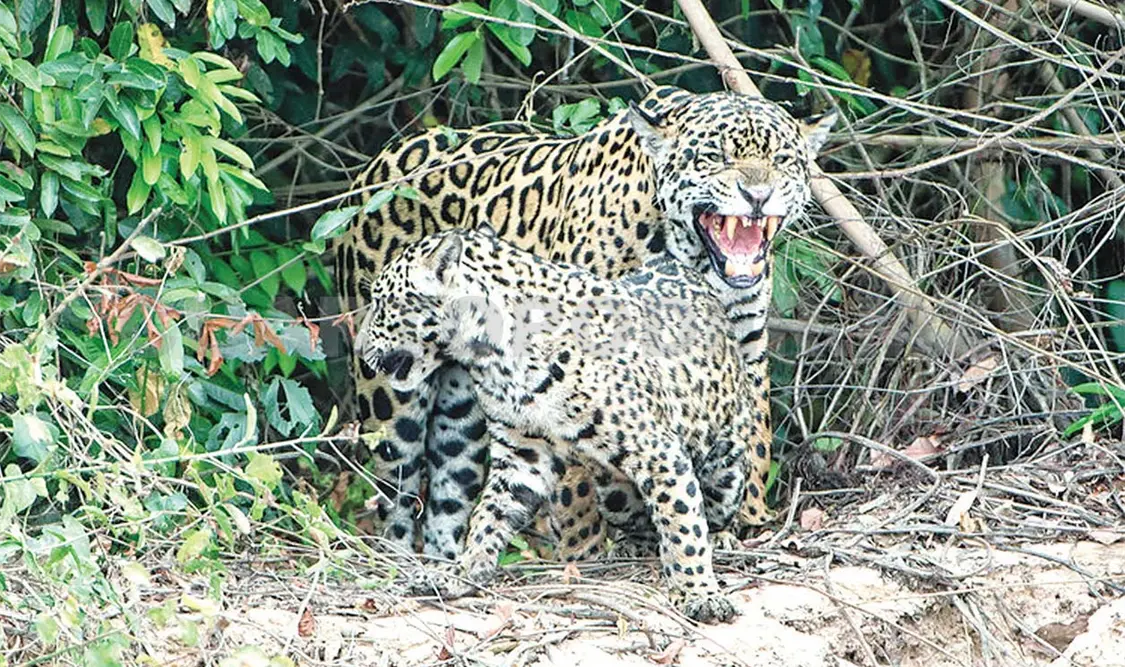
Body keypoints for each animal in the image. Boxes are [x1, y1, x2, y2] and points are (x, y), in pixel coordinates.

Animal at [334, 86, 835, 561]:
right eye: (715, 157)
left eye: (783, 160)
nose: (757, 196)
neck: (693, 257)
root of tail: (381, 158)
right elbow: (574, 471)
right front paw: (585, 547)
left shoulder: (741, 342)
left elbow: (754, 431)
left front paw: (747, 520)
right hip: (391, 399)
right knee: (396, 491)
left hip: (463, 408)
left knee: (450, 486)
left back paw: (445, 560)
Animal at [355, 226, 762, 623]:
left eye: (381, 303)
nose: (360, 350)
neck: (494, 356)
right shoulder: (521, 454)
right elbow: (488, 516)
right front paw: (461, 573)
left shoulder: (658, 453)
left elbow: (683, 527)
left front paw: (699, 593)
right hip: (613, 493)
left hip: (725, 461)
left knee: (715, 508)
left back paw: (721, 539)